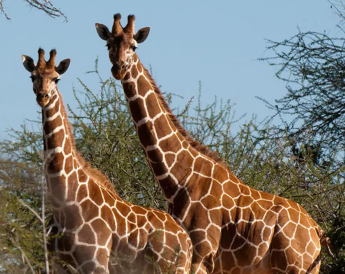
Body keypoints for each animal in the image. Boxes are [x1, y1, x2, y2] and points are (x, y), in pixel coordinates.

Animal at [22, 48, 192, 272]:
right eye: (33, 76)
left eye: (56, 78)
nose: (43, 96)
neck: (65, 201)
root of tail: (187, 242)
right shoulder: (57, 264)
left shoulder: (96, 261)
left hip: (171, 267)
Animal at [94, 15, 330, 274]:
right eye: (108, 45)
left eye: (134, 46)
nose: (119, 68)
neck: (178, 178)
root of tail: (317, 230)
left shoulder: (201, 255)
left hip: (295, 267)